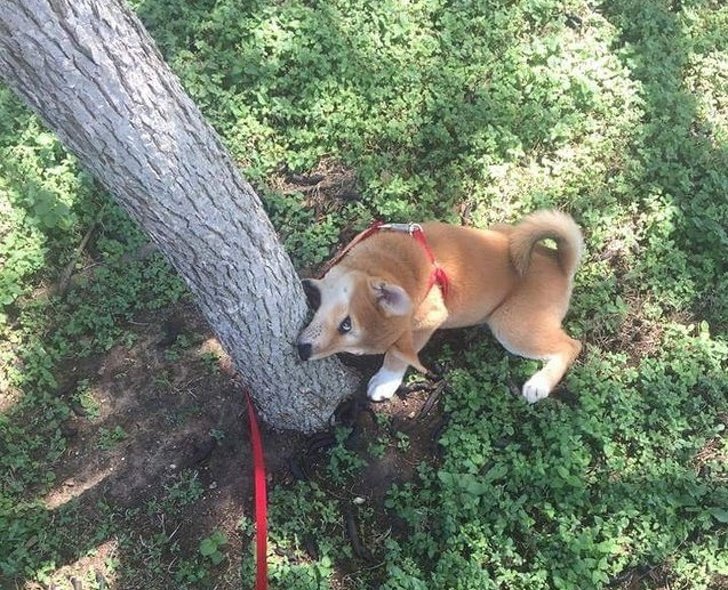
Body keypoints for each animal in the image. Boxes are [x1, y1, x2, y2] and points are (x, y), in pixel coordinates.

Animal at [296, 210, 584, 404]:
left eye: (347, 324)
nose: (302, 352)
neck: (398, 265)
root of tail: (560, 262)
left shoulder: (430, 320)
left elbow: (399, 355)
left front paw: (386, 381)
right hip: (504, 231)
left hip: (511, 326)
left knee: (571, 345)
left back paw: (540, 384)